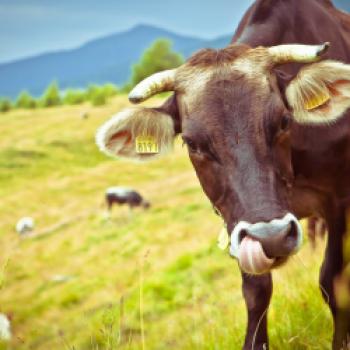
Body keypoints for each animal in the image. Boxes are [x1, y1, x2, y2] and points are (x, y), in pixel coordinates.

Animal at [95, 0, 350, 350]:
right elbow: (256, 293)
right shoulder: (234, 219)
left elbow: (332, 280)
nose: (271, 237)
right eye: (192, 143)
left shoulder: (338, 200)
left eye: (284, 121)